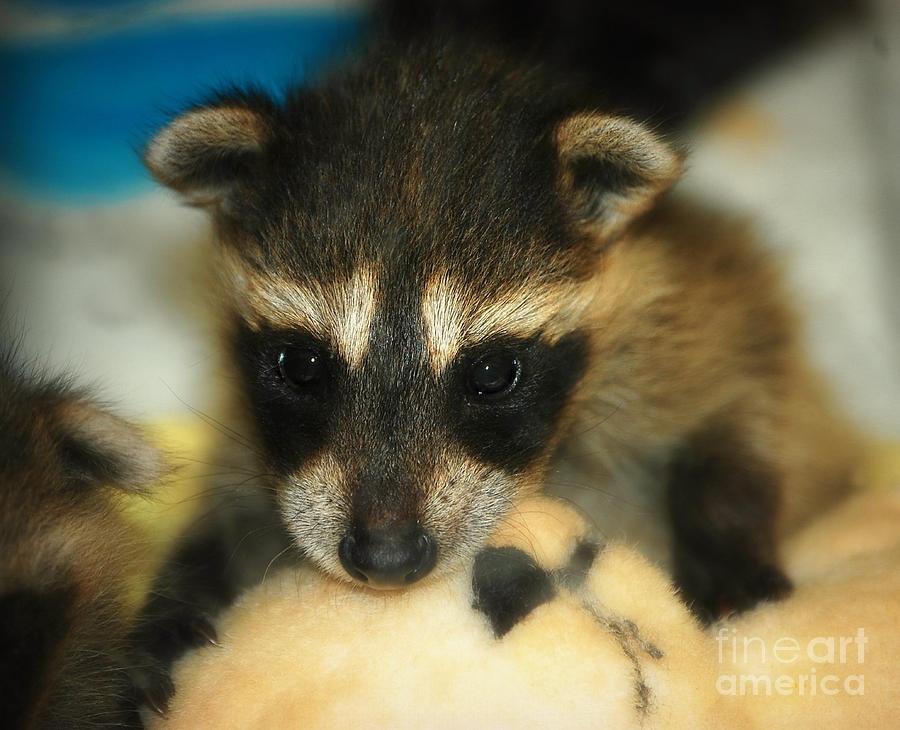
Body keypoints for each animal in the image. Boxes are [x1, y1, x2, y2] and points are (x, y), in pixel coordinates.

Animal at [146, 39, 856, 616]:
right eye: (300, 366)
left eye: (490, 373)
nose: (387, 558)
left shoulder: (692, 308)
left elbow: (749, 391)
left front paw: (726, 538)